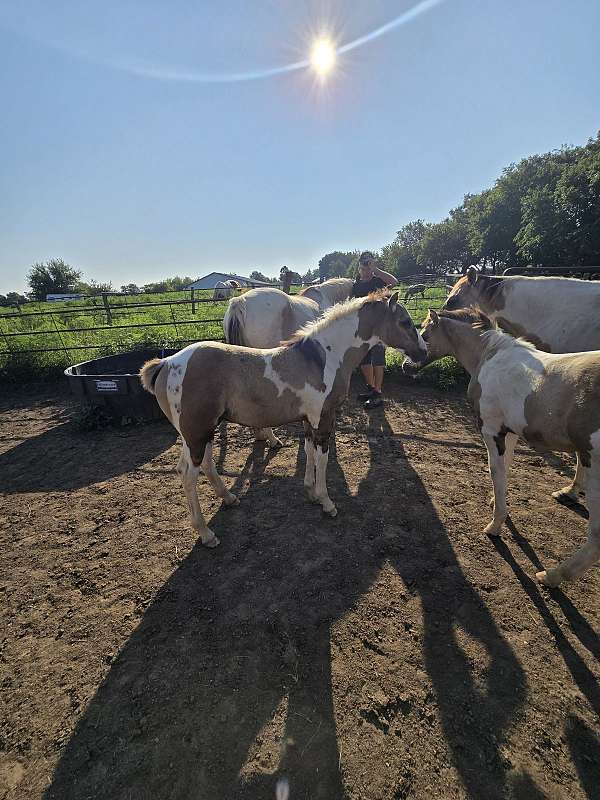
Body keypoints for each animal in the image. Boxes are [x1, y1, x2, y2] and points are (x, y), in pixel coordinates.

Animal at [409, 307, 600, 588]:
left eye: (424, 334)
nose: (405, 365)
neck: (490, 356)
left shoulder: (491, 430)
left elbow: (494, 470)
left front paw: (495, 525)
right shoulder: (508, 431)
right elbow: (504, 469)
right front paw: (495, 502)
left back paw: (552, 576)